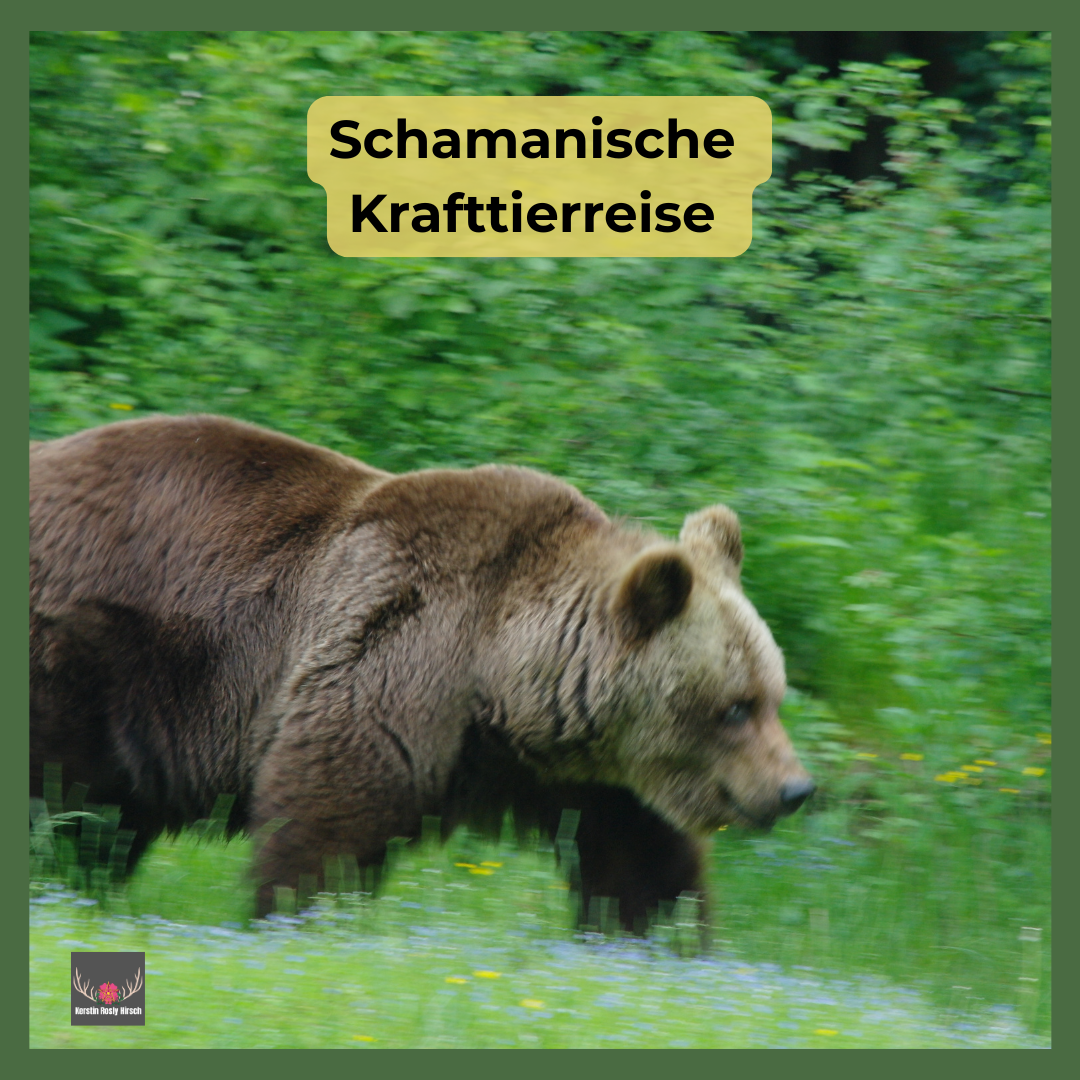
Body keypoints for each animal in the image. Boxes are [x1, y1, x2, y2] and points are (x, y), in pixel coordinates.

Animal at [30, 414, 814, 931]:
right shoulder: (394, 664)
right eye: (736, 707)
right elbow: (324, 821)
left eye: (774, 697)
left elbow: (642, 862)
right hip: (89, 656)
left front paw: (667, 943)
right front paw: (294, 916)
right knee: (62, 796)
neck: (501, 684)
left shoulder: (585, 771)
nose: (795, 789)